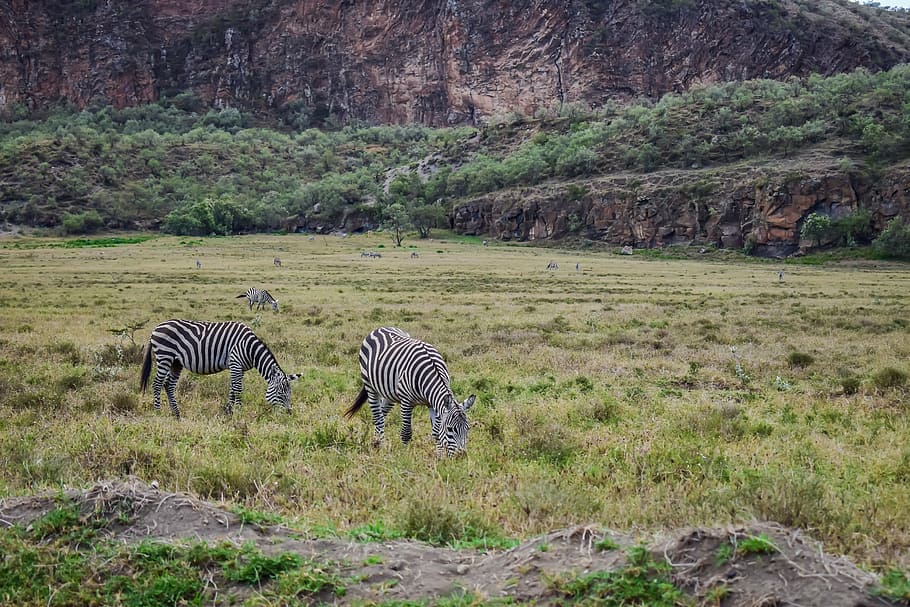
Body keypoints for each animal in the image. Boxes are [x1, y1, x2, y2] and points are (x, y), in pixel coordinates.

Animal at [139, 319, 300, 418]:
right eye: (281, 393)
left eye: (290, 394)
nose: (289, 413)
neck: (249, 348)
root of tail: (156, 328)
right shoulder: (235, 363)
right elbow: (238, 389)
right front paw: (239, 412)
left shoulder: (239, 368)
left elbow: (232, 389)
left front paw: (228, 412)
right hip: (165, 356)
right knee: (157, 384)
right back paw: (158, 411)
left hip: (176, 362)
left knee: (169, 385)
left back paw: (177, 414)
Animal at [344, 327, 476, 457]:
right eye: (450, 429)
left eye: (468, 428)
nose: (462, 456)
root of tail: (381, 328)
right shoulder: (407, 402)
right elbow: (406, 433)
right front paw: (404, 457)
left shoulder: (432, 403)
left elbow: (436, 432)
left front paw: (440, 457)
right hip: (370, 386)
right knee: (378, 417)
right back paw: (379, 446)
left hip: (390, 394)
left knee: (382, 413)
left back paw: (376, 443)